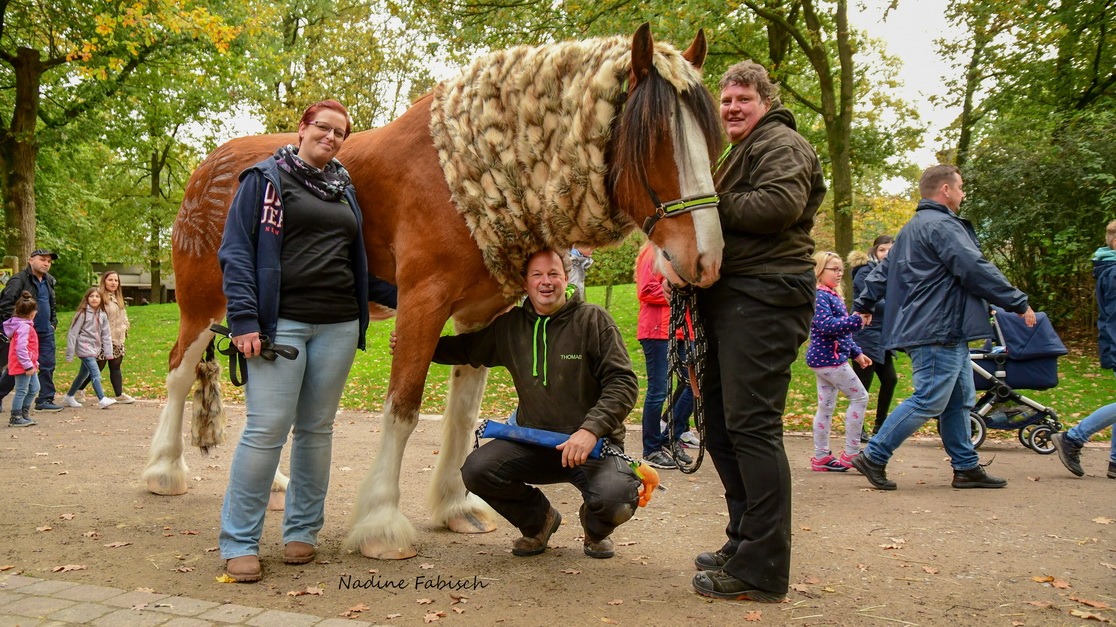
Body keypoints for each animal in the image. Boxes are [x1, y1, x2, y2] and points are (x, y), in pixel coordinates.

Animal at [146, 24, 723, 557]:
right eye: (654, 140)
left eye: (712, 139)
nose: (706, 259)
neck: (457, 176)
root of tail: (207, 168)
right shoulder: (422, 302)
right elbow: (403, 407)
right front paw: (381, 524)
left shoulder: (480, 315)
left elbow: (462, 414)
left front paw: (454, 506)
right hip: (203, 305)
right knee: (178, 373)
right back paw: (163, 471)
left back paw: (275, 487)